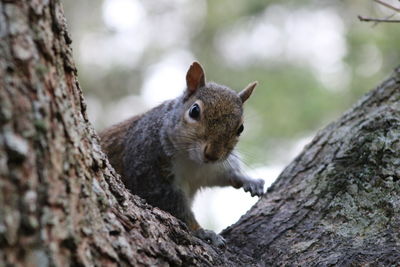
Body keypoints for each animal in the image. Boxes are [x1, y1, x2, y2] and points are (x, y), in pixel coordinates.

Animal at [99, 61, 264, 249]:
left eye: (241, 128)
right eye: (194, 111)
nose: (212, 155)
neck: (193, 161)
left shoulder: (211, 169)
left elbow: (223, 175)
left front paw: (248, 180)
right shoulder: (148, 169)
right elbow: (174, 207)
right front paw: (202, 231)